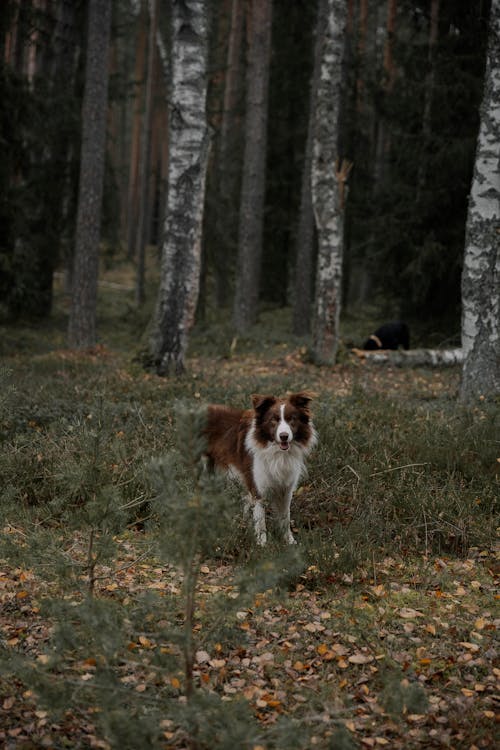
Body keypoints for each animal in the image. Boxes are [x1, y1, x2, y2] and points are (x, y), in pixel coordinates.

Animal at [203, 394, 316, 548]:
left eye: (292, 419)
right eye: (274, 420)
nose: (284, 436)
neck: (277, 452)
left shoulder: (286, 489)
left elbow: (285, 517)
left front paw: (289, 541)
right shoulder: (257, 487)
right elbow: (260, 519)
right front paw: (262, 545)